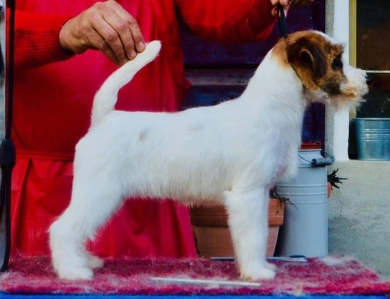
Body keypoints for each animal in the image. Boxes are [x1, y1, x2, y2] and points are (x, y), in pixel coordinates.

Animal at [48, 30, 368, 282]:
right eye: (337, 61)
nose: (366, 78)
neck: (270, 108)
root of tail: (104, 119)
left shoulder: (261, 194)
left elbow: (260, 233)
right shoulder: (248, 195)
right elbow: (253, 236)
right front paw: (256, 272)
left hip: (103, 196)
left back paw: (83, 261)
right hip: (98, 192)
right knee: (63, 228)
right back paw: (72, 271)